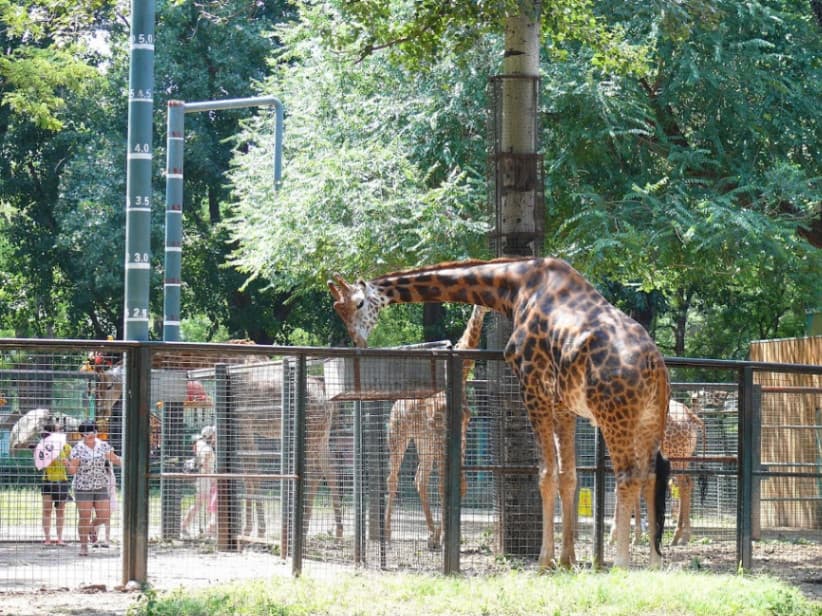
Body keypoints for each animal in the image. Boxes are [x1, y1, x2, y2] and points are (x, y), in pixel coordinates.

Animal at [332, 256, 672, 568]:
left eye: (358, 303)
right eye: (341, 311)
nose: (358, 341)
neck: (516, 285)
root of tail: (654, 364)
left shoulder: (532, 386)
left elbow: (545, 474)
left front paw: (544, 561)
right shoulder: (562, 404)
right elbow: (568, 476)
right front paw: (567, 560)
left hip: (614, 416)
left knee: (628, 475)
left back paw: (622, 563)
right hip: (649, 420)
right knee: (651, 474)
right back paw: (654, 563)